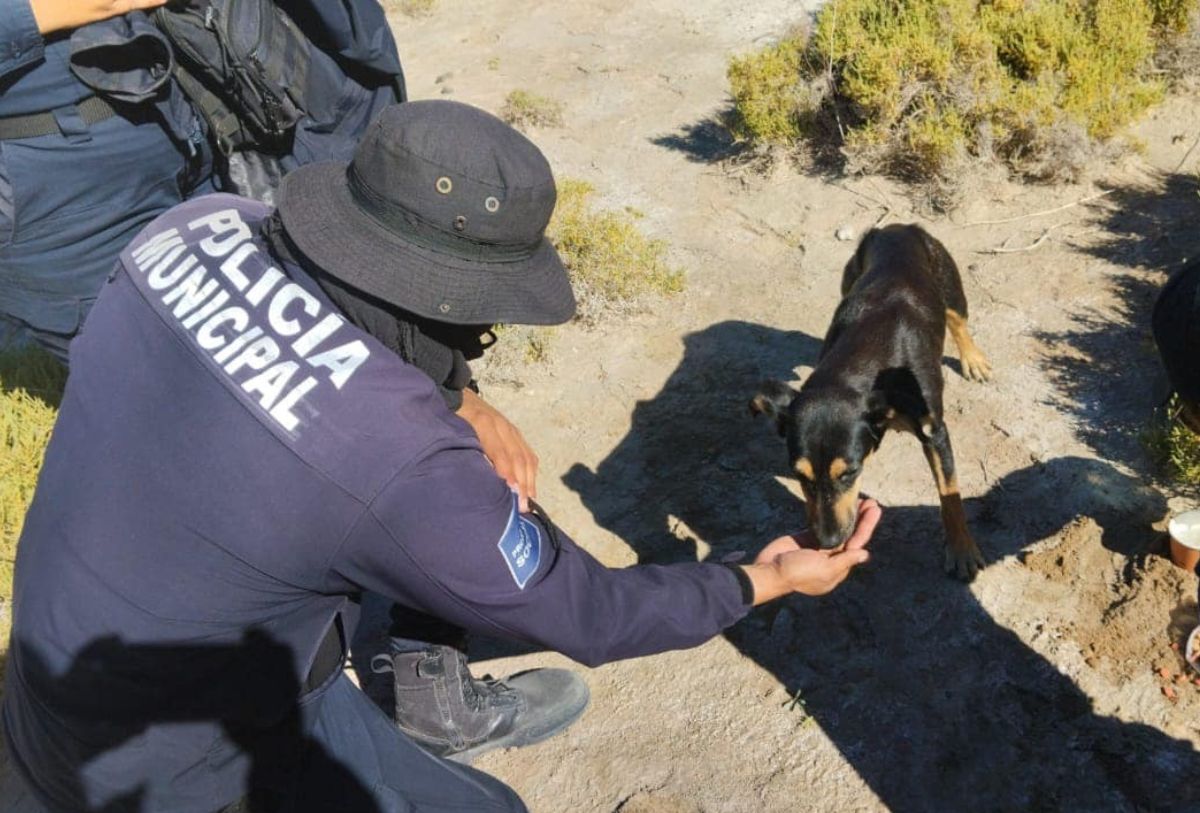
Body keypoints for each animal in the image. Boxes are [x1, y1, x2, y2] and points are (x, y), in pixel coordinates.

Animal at [748, 223, 993, 580]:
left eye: (850, 473)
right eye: (799, 476)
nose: (827, 541)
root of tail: (898, 227)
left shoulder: (935, 432)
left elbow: (950, 497)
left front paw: (962, 551)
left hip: (951, 288)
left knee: (958, 321)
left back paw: (973, 359)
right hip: (849, 279)